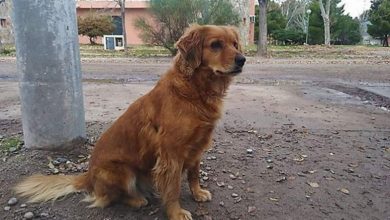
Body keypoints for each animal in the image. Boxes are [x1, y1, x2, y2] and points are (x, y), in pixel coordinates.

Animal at [16, 24, 247, 220]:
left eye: (235, 44)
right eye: (215, 44)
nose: (242, 59)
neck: (195, 90)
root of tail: (88, 176)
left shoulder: (197, 146)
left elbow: (194, 174)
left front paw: (197, 193)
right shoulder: (171, 154)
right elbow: (172, 189)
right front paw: (176, 213)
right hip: (122, 172)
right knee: (108, 198)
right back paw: (136, 199)